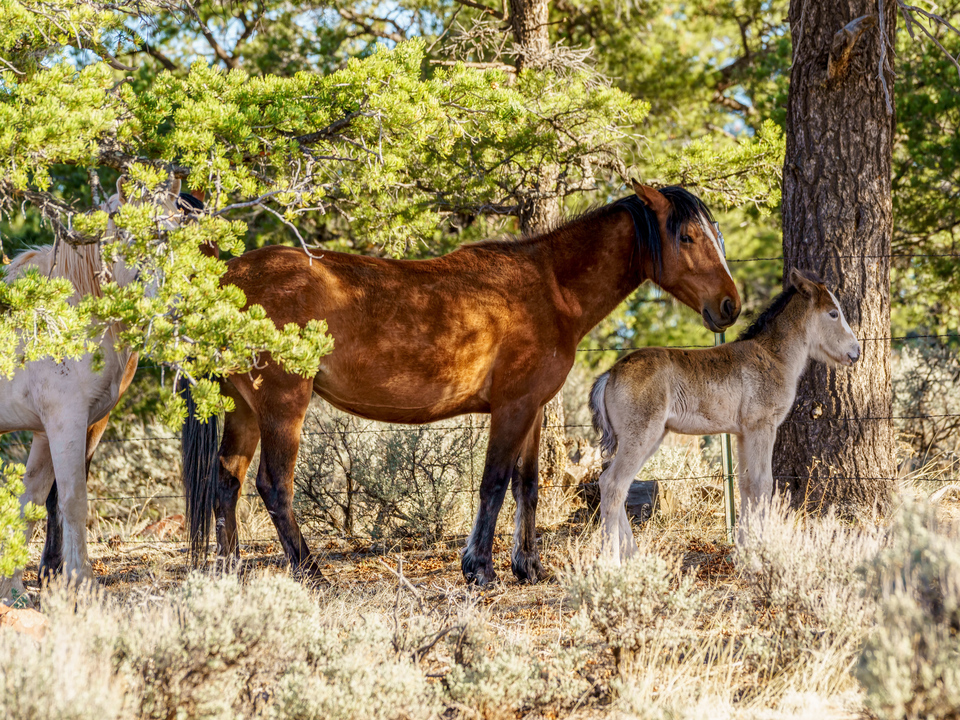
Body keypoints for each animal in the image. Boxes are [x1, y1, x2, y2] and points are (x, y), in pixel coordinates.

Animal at [0, 179, 192, 603]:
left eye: (175, 230)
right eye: (129, 235)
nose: (170, 305)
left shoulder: (46, 432)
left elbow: (31, 502)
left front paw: (12, 592)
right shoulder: (66, 422)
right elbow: (73, 502)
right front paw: (81, 584)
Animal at [180, 181, 742, 586]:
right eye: (687, 237)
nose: (729, 305)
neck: (549, 286)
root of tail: (227, 276)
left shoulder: (533, 408)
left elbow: (526, 486)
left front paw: (528, 567)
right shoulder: (512, 407)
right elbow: (492, 483)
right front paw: (480, 567)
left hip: (241, 409)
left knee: (225, 482)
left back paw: (228, 572)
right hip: (282, 406)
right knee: (273, 486)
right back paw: (312, 572)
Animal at [589, 268, 861, 564]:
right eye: (833, 313)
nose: (855, 352)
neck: (774, 357)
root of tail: (609, 374)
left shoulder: (742, 433)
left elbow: (745, 484)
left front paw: (742, 551)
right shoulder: (762, 426)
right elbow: (762, 483)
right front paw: (759, 555)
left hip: (649, 437)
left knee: (616, 483)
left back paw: (633, 556)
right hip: (640, 434)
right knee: (613, 484)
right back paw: (612, 561)